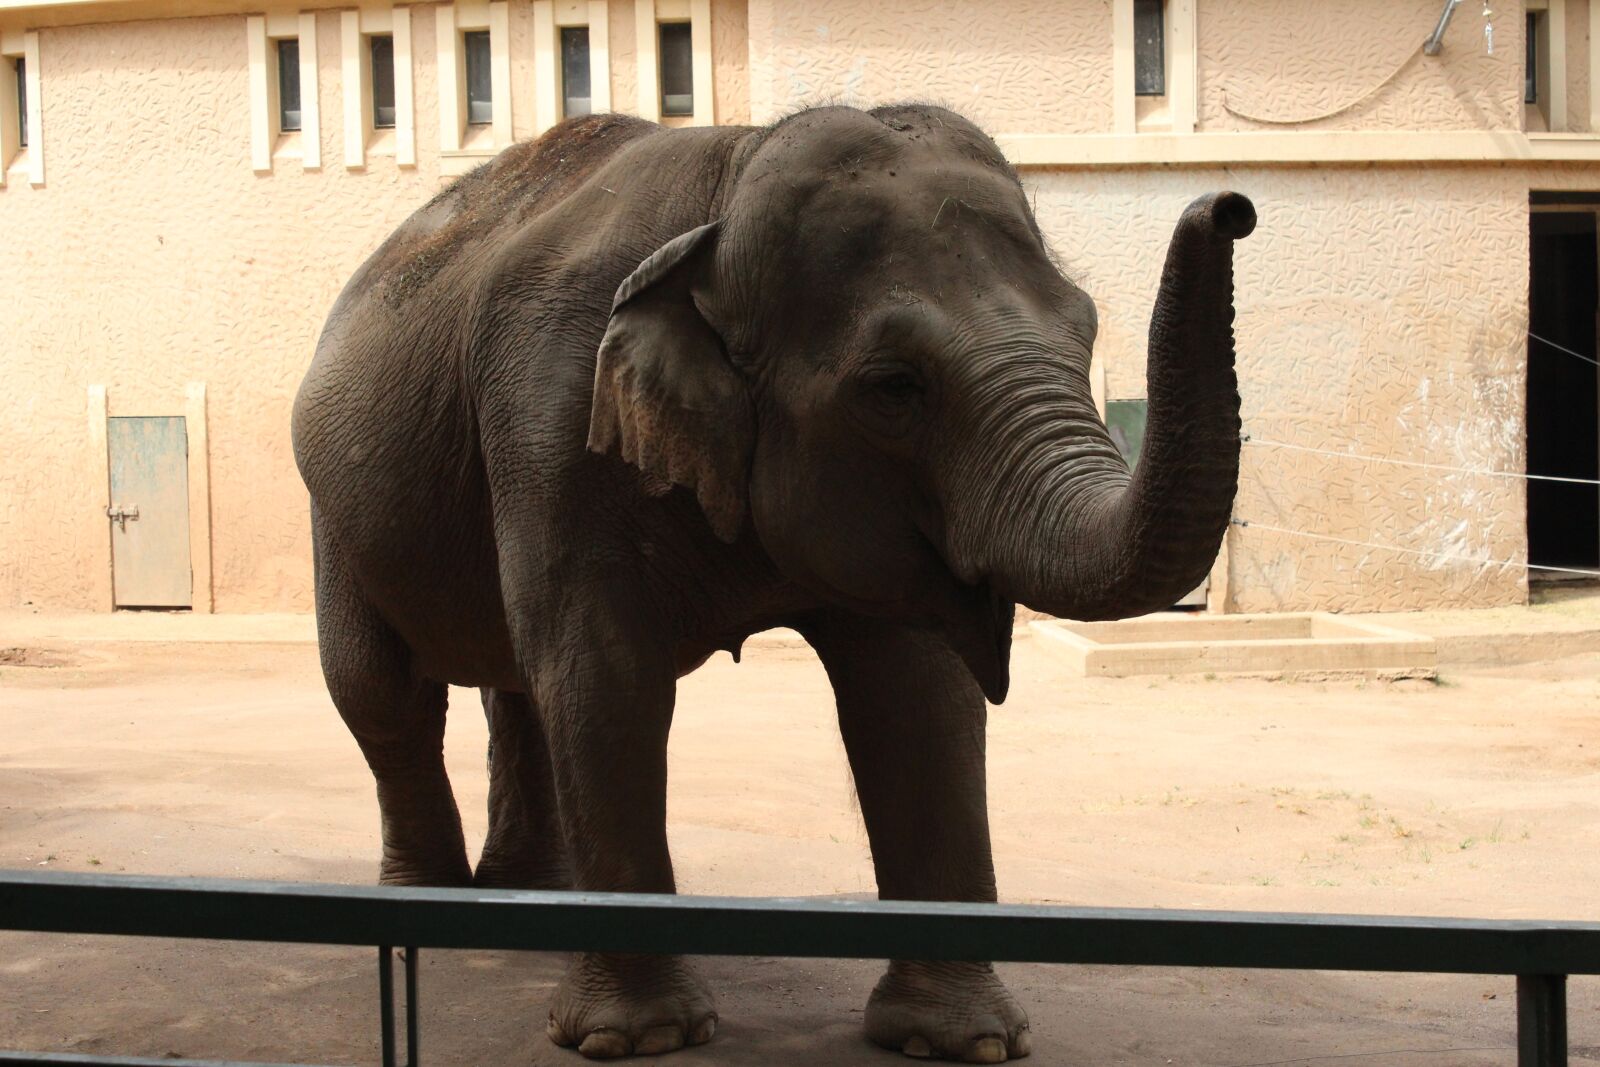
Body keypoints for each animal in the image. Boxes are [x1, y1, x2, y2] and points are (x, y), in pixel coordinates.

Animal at [291, 104, 1254, 1063]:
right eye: (894, 387)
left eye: (1084, 332)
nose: (1230, 206)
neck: (726, 191)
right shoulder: (554, 425)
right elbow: (606, 676)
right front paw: (641, 1035)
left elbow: (916, 694)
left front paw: (963, 1039)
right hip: (333, 510)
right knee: (384, 695)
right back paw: (428, 913)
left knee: (515, 693)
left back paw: (527, 903)